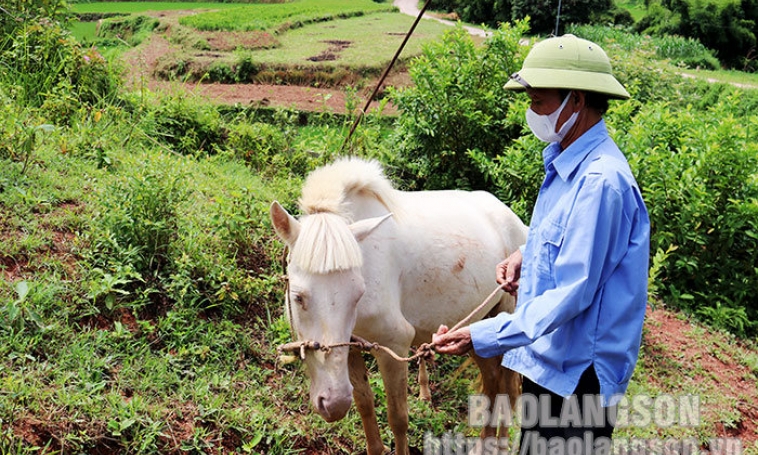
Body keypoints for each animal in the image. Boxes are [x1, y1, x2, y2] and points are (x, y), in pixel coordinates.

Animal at [272, 158, 528, 455]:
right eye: (298, 297)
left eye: (358, 294)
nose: (333, 404)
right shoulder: (350, 347)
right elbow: (365, 404)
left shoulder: (394, 345)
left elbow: (398, 417)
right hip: (475, 327)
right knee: (492, 380)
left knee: (506, 385)